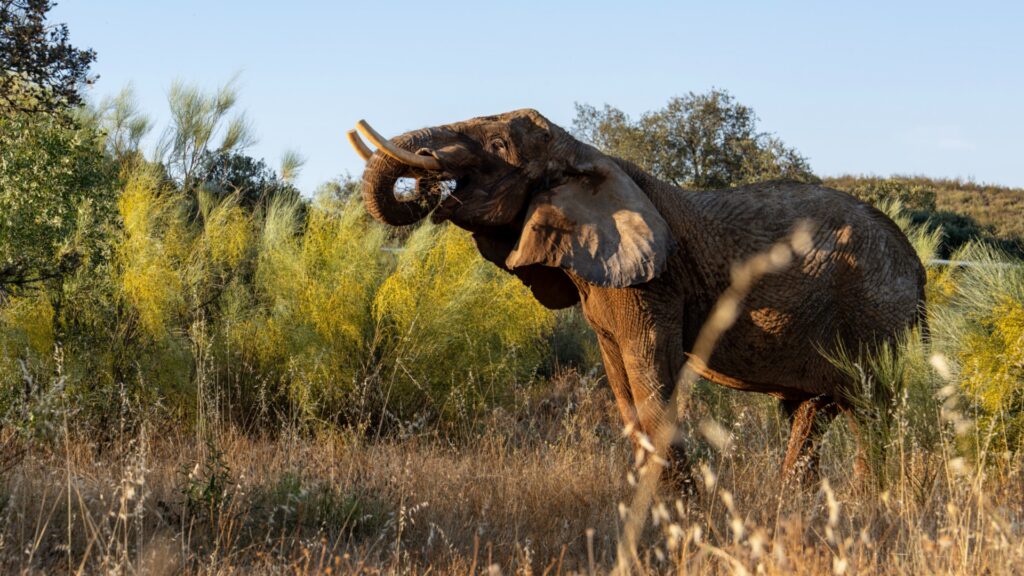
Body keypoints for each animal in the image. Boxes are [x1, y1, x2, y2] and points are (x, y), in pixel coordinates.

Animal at [346, 109, 927, 480]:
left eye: (497, 148)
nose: (428, 177)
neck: (587, 155)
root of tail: (918, 270)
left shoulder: (653, 283)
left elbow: (651, 383)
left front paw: (684, 525)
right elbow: (625, 392)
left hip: (877, 316)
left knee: (874, 415)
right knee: (811, 417)